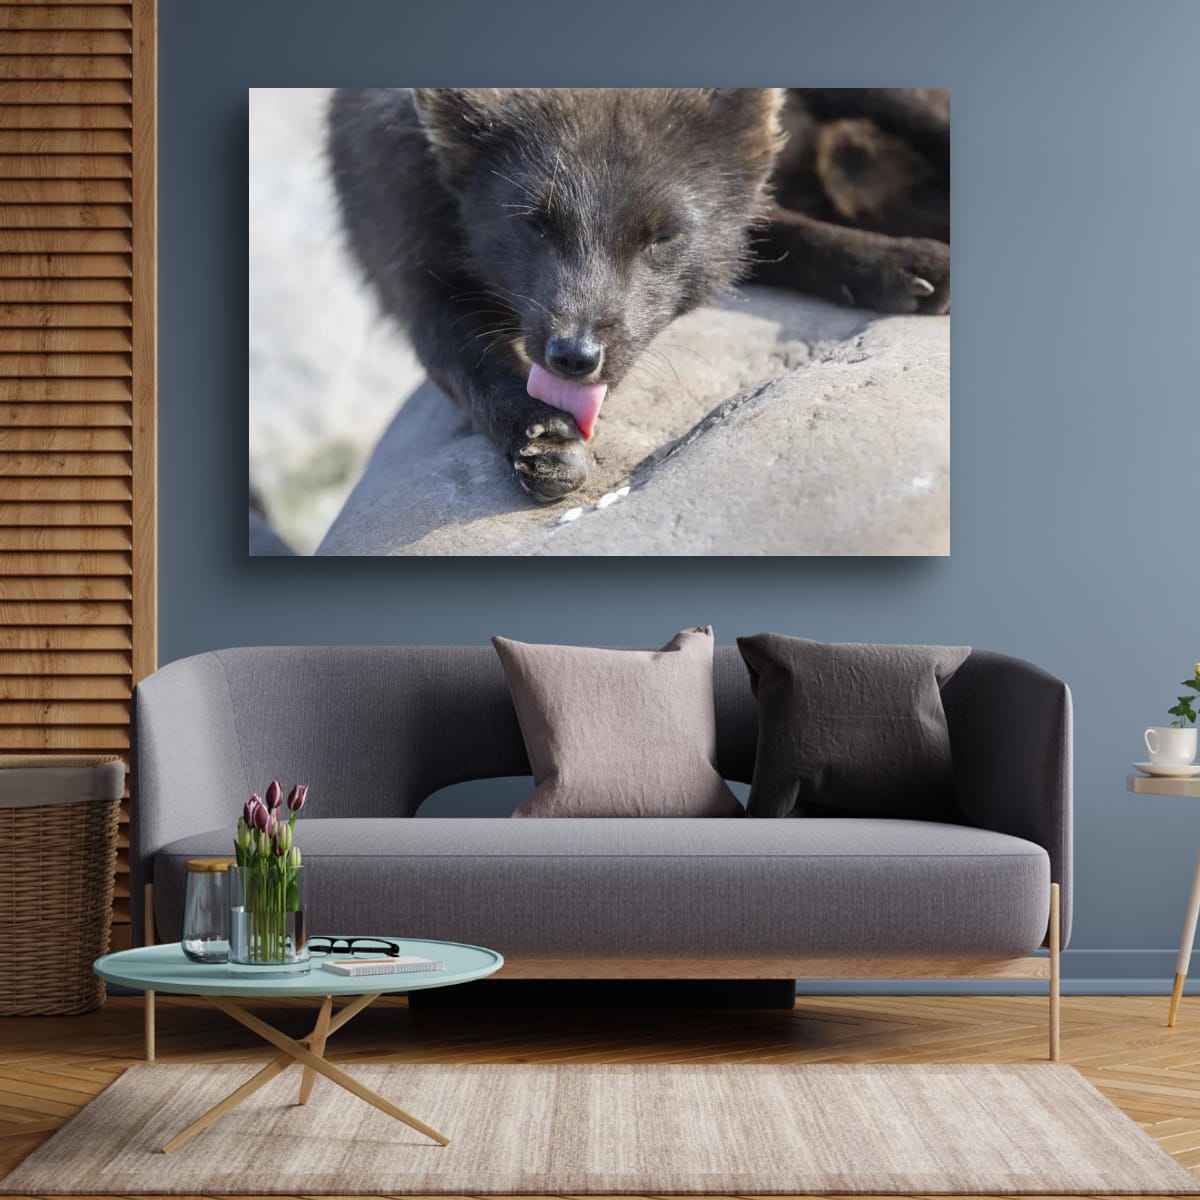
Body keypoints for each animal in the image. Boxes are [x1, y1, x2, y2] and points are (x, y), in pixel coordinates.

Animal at [327, 87, 949, 503]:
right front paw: (540, 439)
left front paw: (902, 264)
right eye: (534, 224)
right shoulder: (408, 266)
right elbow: (467, 363)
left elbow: (773, 232)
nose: (574, 357)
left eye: (663, 236)